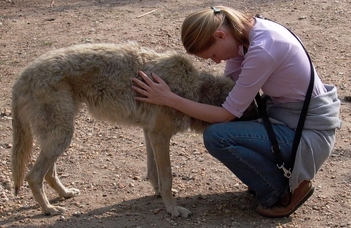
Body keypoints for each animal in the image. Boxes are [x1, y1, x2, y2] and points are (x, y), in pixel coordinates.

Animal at [11, 41, 258, 218]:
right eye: (253, 113)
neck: (194, 89)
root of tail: (21, 76)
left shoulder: (150, 133)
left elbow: (154, 172)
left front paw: (159, 194)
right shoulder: (160, 136)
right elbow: (167, 176)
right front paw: (173, 210)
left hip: (58, 137)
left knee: (48, 173)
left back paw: (65, 194)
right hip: (61, 136)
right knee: (33, 176)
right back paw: (49, 210)